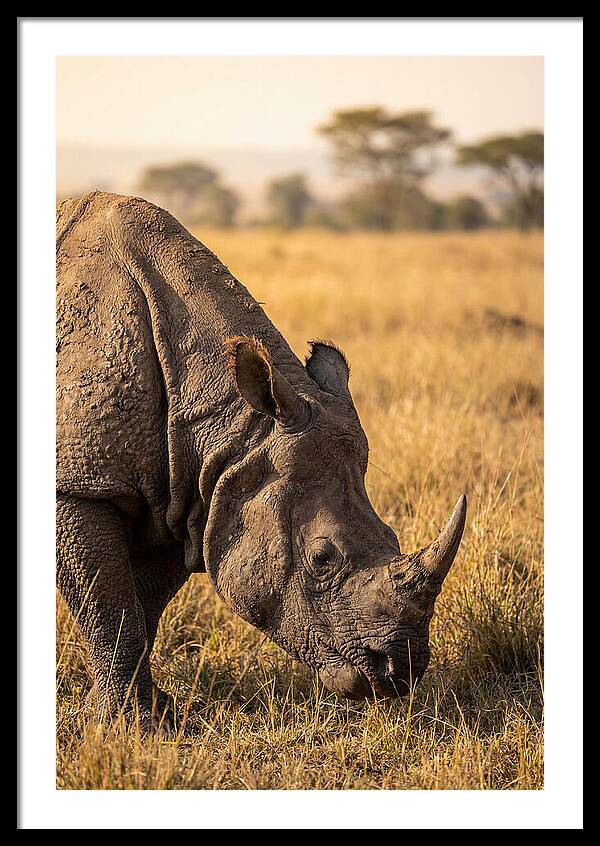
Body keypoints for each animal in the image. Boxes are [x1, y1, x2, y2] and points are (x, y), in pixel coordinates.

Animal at [56, 191, 467, 728]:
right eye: (322, 559)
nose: (400, 673)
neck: (232, 428)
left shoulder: (185, 494)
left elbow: (140, 607)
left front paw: (146, 715)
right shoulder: (81, 484)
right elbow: (111, 612)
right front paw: (133, 726)